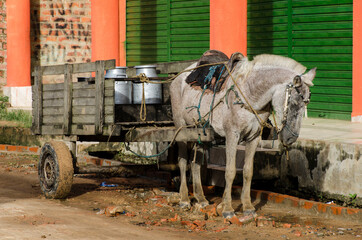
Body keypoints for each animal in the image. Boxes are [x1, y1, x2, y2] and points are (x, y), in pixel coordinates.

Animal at [170, 51, 314, 219]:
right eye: (294, 102)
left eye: (306, 104)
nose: (291, 138)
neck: (250, 92)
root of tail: (178, 77)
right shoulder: (232, 136)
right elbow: (230, 172)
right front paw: (227, 208)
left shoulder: (253, 138)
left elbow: (247, 171)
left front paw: (248, 206)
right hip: (181, 129)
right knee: (182, 162)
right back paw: (184, 199)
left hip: (200, 133)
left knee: (195, 163)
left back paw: (201, 198)